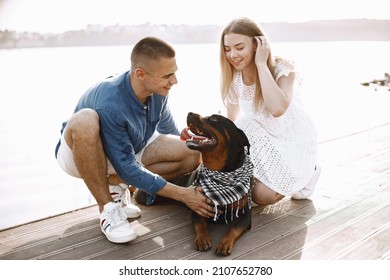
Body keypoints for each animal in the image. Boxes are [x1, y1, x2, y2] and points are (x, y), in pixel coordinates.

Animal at [180, 112, 253, 256]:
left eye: (214, 118)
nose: (189, 113)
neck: (221, 173)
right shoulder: (198, 205)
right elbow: (200, 224)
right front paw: (202, 238)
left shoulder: (245, 214)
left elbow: (234, 229)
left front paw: (225, 242)